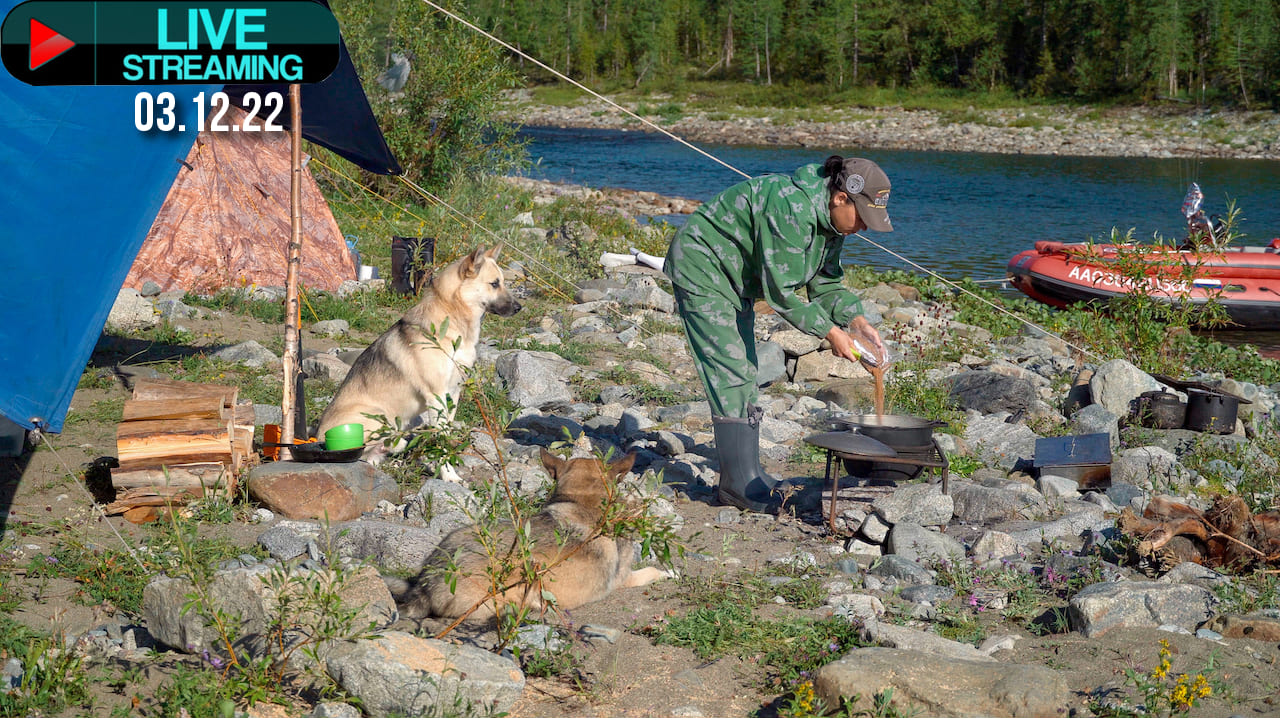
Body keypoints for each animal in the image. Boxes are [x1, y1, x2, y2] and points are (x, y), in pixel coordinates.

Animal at [314, 243, 519, 461]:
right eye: (494, 284)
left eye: (502, 282)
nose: (519, 308)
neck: (452, 322)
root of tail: (317, 437)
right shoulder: (436, 395)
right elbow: (441, 437)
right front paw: (446, 466)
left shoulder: (454, 392)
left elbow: (447, 429)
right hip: (378, 415)